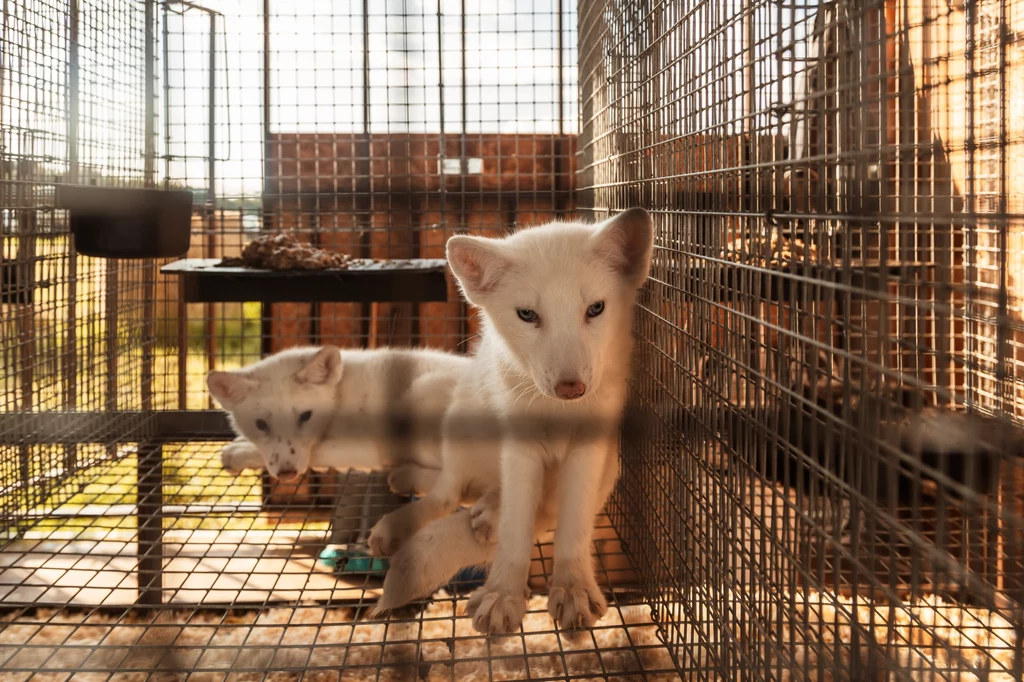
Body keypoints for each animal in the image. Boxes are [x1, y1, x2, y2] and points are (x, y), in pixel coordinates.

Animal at [204, 342, 475, 491]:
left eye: (305, 416)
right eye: (261, 424)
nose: (286, 474)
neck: (339, 397)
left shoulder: (366, 448)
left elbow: (319, 453)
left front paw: (240, 453)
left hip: (418, 401)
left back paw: (409, 478)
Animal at [372, 208, 651, 630]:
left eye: (596, 309)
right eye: (527, 315)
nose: (572, 387)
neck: (556, 414)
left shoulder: (587, 451)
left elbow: (571, 529)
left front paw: (573, 588)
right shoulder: (520, 449)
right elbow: (516, 530)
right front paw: (502, 595)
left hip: (608, 468)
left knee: (519, 504)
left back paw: (487, 509)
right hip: (459, 426)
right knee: (447, 494)